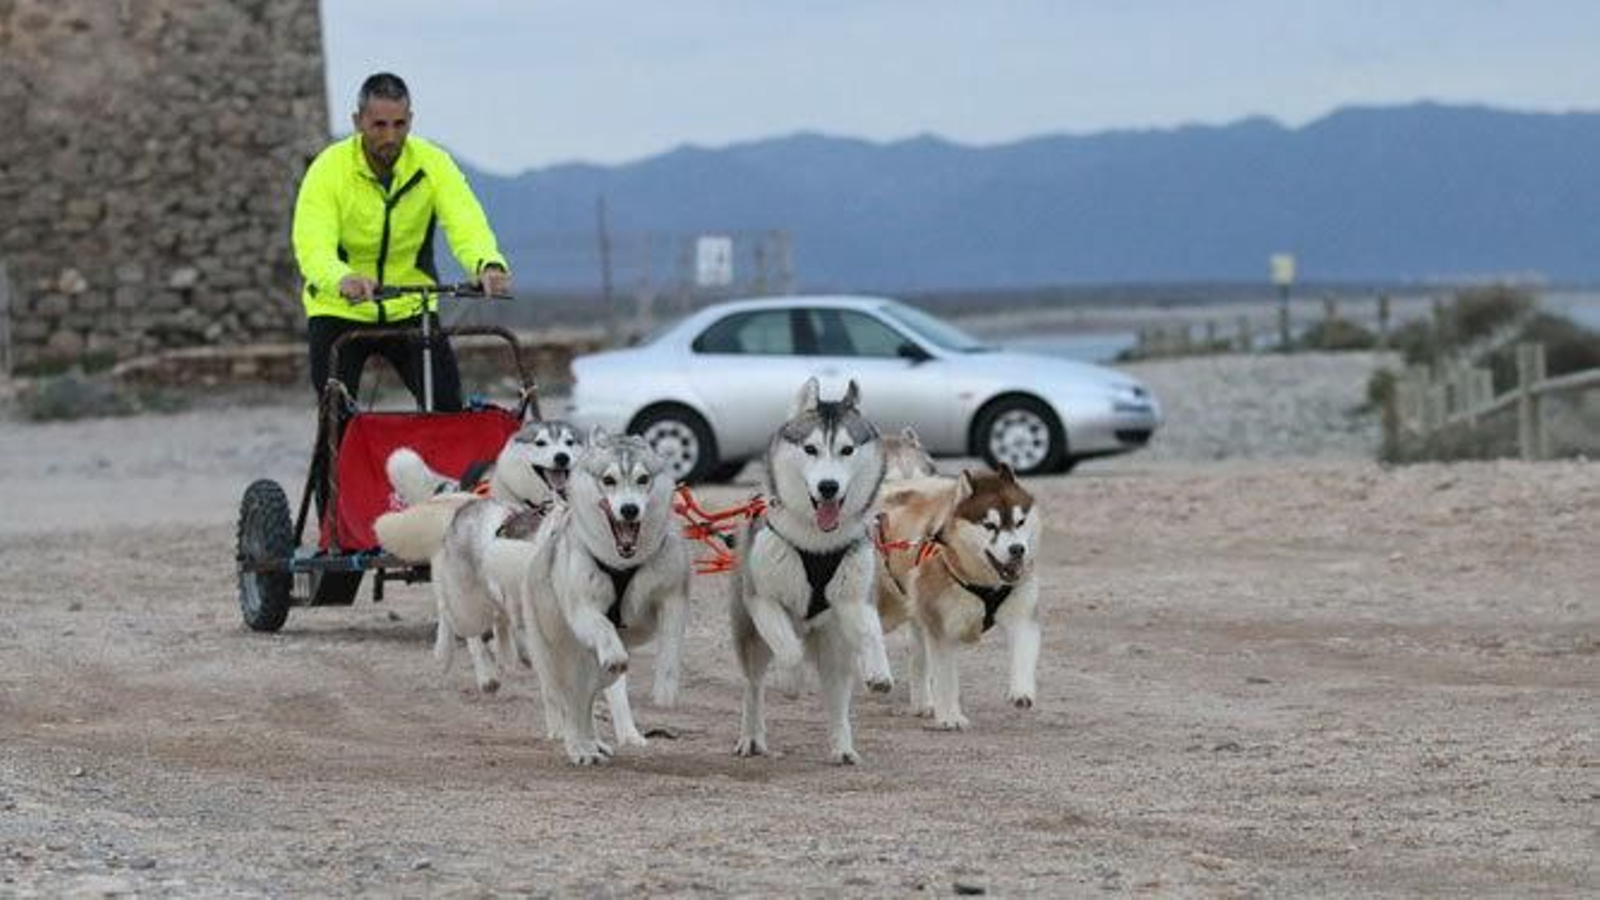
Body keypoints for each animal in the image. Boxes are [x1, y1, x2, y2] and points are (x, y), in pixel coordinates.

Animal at [520, 429, 690, 765]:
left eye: (643, 479)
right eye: (608, 480)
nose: (629, 509)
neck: (622, 562)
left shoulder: (672, 596)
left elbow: (671, 642)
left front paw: (666, 689)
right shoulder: (583, 608)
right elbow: (602, 625)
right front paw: (613, 651)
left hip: (597, 676)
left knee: (587, 701)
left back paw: (594, 743)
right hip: (561, 659)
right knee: (571, 704)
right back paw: (579, 748)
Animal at [730, 377, 893, 765]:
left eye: (847, 450)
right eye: (810, 449)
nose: (828, 487)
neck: (816, 542)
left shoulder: (856, 600)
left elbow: (873, 632)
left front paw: (880, 671)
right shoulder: (763, 600)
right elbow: (789, 651)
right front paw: (791, 681)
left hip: (836, 644)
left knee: (837, 697)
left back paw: (842, 747)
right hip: (750, 636)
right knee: (754, 685)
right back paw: (752, 737)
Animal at [875, 464, 1040, 730]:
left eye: (1020, 521)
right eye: (990, 526)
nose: (1017, 549)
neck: (983, 583)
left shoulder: (1022, 615)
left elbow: (1024, 652)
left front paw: (1021, 692)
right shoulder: (941, 628)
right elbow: (946, 677)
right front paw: (951, 717)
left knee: (917, 655)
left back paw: (922, 703)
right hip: (885, 608)